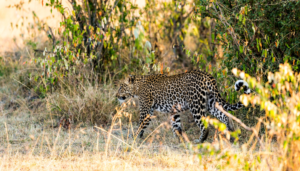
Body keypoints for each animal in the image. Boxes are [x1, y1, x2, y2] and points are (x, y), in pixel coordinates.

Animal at [116, 70, 250, 143]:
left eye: (121, 86)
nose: (116, 95)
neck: (137, 87)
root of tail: (207, 76)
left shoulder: (146, 109)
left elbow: (141, 124)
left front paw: (133, 137)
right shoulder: (173, 110)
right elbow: (176, 125)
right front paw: (179, 138)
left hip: (196, 105)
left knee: (204, 125)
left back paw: (200, 140)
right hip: (211, 103)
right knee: (225, 116)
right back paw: (231, 135)